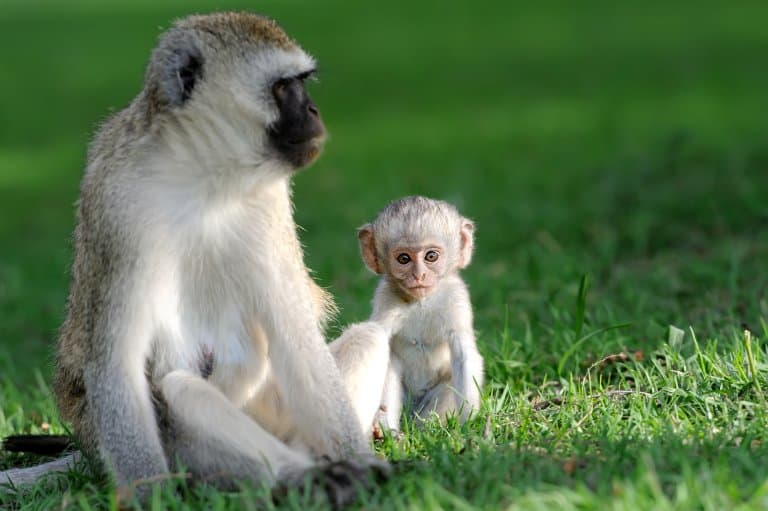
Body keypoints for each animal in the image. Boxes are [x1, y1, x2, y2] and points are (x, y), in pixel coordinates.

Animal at [1, 11, 390, 504]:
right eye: (284, 88)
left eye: (302, 84)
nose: (315, 112)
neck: (204, 177)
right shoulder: (115, 202)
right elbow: (116, 362)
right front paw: (150, 495)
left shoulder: (269, 200)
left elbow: (297, 339)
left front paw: (357, 457)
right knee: (180, 389)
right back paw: (299, 477)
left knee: (367, 339)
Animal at [356, 196, 484, 432]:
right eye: (404, 259)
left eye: (431, 256)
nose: (419, 275)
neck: (422, 303)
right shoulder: (386, 299)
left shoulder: (457, 299)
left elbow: (464, 355)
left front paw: (470, 426)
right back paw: (388, 431)